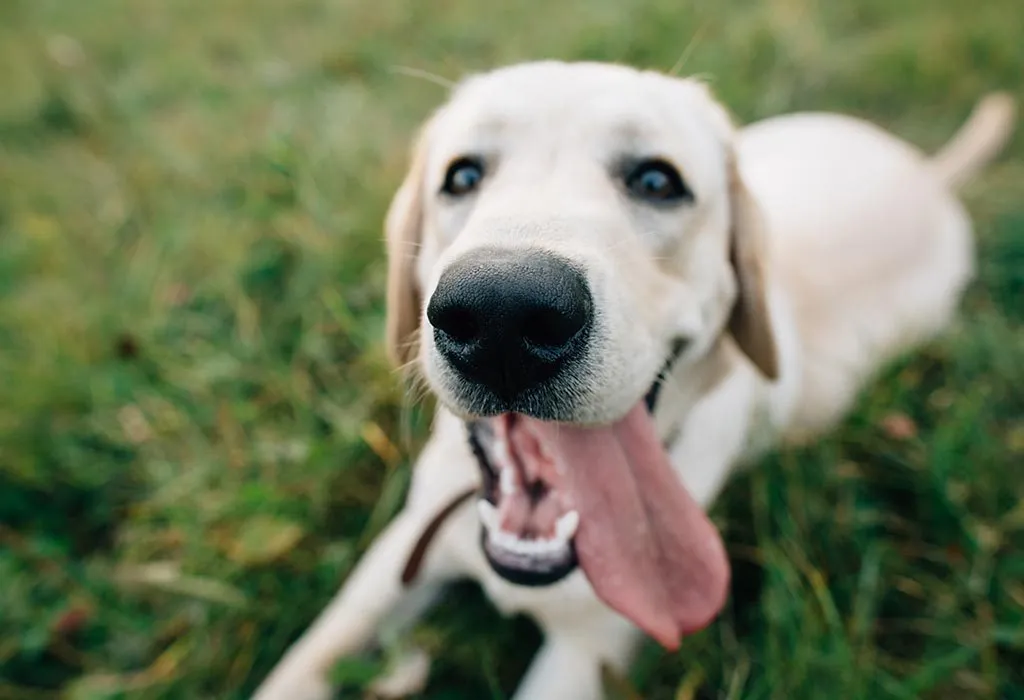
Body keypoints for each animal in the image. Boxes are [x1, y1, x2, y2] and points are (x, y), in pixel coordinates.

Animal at [249, 61, 1015, 700]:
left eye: (656, 181)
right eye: (462, 177)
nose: (502, 314)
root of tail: (927, 171)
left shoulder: (588, 655)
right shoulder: (399, 554)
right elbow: (304, 662)